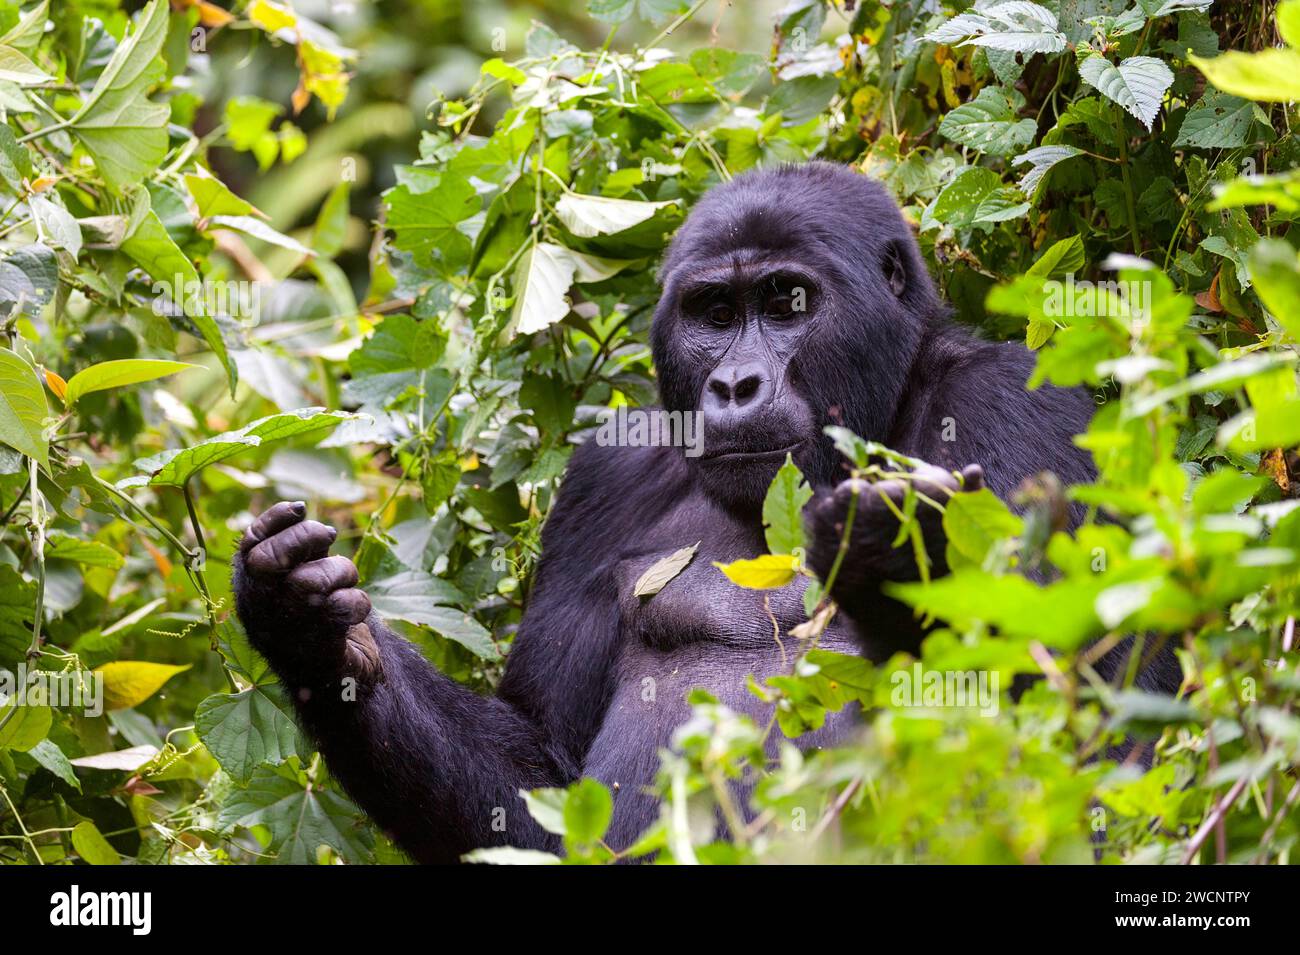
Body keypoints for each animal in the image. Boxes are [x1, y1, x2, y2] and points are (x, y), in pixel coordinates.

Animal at [233, 160, 1170, 862]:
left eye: (788, 303)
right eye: (715, 313)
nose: (735, 385)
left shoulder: (1018, 404)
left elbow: (1108, 739)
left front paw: (894, 559)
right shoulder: (606, 473)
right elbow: (536, 788)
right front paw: (310, 631)